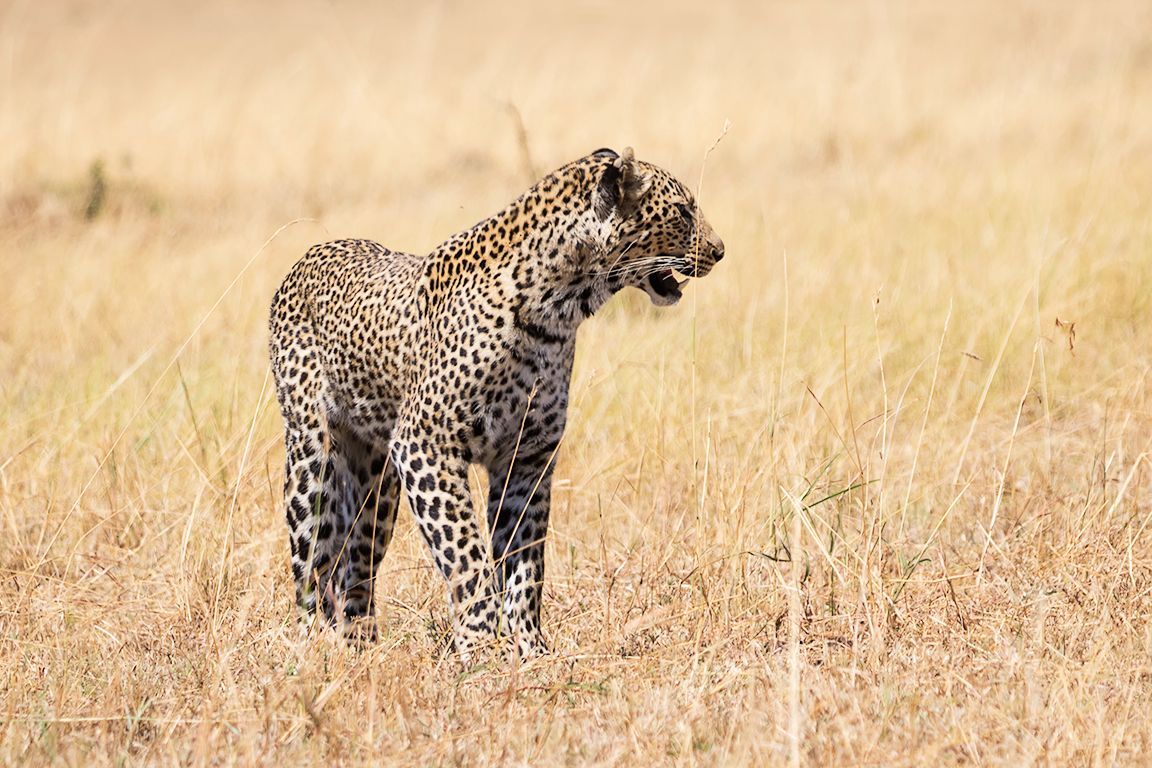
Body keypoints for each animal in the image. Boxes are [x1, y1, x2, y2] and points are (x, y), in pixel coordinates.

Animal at [268, 147, 725, 661]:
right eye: (683, 211)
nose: (720, 250)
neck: (560, 309)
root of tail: (312, 253)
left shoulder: (527, 457)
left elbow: (525, 560)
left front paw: (531, 648)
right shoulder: (425, 445)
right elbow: (467, 553)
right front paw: (481, 647)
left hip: (376, 483)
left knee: (356, 565)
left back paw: (361, 646)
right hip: (312, 456)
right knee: (310, 562)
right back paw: (312, 648)